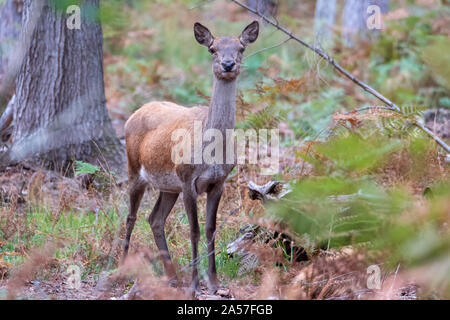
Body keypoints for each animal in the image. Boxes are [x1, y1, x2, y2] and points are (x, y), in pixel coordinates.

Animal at [123, 21, 258, 294]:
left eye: (240, 47)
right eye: (212, 49)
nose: (228, 64)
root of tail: (134, 113)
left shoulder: (218, 182)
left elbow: (210, 229)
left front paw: (214, 282)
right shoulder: (188, 180)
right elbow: (194, 231)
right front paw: (195, 285)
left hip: (168, 186)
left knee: (154, 219)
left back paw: (172, 276)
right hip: (135, 168)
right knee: (131, 216)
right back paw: (120, 268)